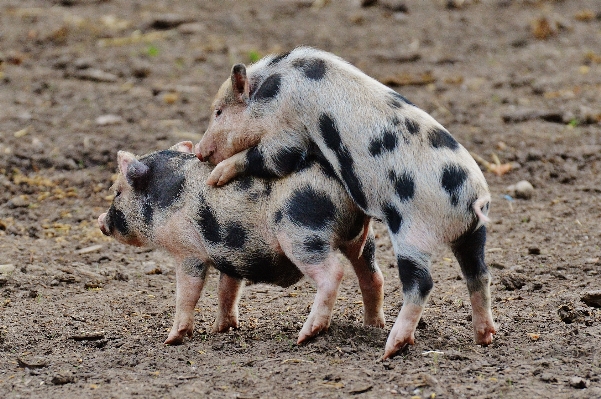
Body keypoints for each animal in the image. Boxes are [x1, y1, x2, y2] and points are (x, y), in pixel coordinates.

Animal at [96, 142, 382, 346]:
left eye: (117, 192)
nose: (100, 221)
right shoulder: (231, 251)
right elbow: (227, 290)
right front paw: (221, 329)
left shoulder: (188, 251)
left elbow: (187, 293)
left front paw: (171, 339)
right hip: (360, 240)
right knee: (372, 275)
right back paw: (373, 325)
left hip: (304, 235)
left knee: (334, 273)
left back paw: (306, 336)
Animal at [195, 47, 494, 360]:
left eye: (218, 112)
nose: (199, 151)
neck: (273, 87)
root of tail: (470, 199)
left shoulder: (286, 127)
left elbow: (276, 158)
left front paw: (215, 178)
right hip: (474, 233)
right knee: (479, 274)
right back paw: (484, 337)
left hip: (412, 232)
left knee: (421, 283)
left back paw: (389, 348)